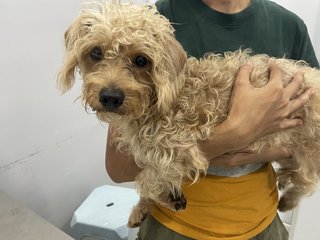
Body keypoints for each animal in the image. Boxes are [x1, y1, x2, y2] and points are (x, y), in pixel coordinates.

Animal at [58, 1, 320, 227]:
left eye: (141, 60)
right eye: (96, 52)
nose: (111, 96)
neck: (159, 102)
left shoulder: (179, 149)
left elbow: (146, 179)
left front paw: (164, 195)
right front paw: (148, 206)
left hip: (307, 152)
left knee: (306, 182)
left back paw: (287, 199)